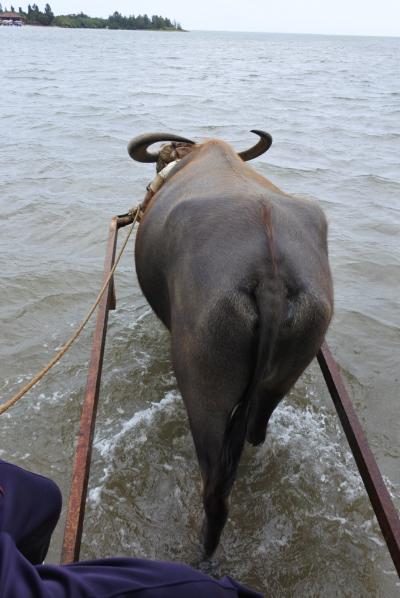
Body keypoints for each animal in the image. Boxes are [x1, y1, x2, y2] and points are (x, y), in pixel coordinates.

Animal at [127, 132, 332, 556]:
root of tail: (271, 277)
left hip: (205, 385)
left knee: (215, 490)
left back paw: (203, 550)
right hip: (286, 371)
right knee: (256, 430)